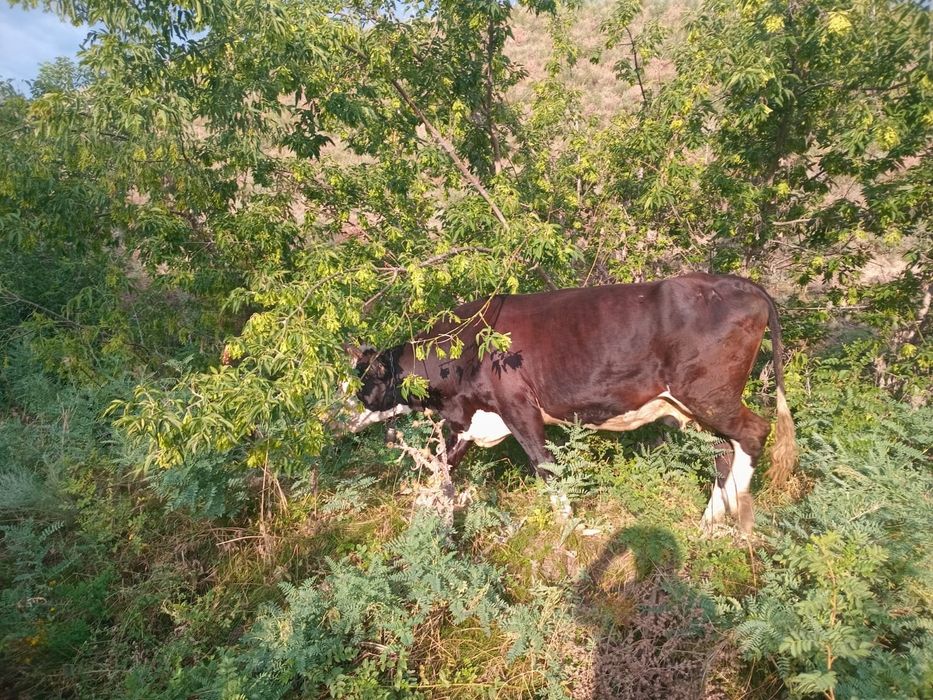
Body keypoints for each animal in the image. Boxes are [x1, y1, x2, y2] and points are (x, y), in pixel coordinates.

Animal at [344, 273, 797, 532]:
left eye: (365, 380)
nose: (346, 412)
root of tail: (742, 283)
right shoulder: (475, 419)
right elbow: (445, 465)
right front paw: (428, 507)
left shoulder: (519, 407)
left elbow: (546, 468)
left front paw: (567, 529)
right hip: (692, 408)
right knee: (722, 451)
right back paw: (709, 522)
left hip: (709, 394)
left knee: (752, 434)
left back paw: (739, 520)